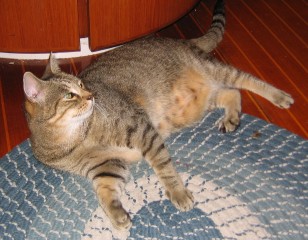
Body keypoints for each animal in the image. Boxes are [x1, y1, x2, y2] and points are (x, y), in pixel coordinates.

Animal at [22, 0, 294, 231]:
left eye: (81, 84)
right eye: (70, 95)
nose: (91, 96)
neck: (75, 139)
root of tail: (180, 40)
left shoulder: (141, 129)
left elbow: (164, 167)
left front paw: (178, 192)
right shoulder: (105, 166)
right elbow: (104, 191)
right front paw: (117, 216)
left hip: (214, 70)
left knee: (245, 80)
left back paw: (279, 96)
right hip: (201, 99)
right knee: (231, 93)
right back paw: (231, 117)